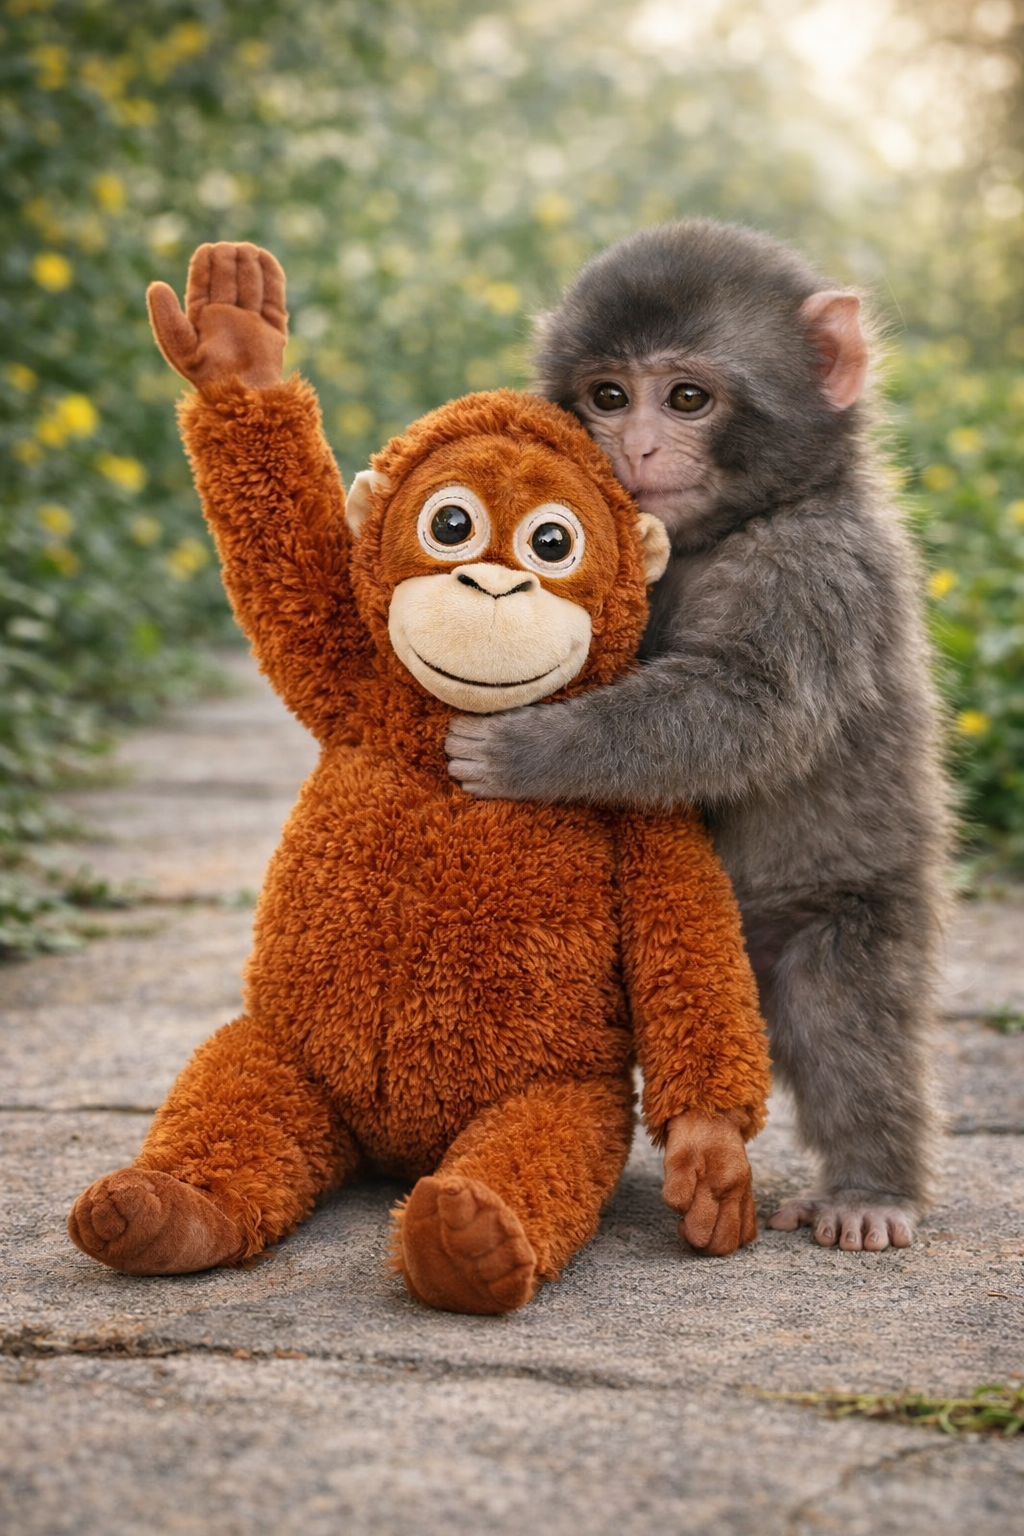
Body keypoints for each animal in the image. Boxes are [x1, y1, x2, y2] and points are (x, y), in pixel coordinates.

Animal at [446, 220, 950, 1253]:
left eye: (686, 397)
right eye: (607, 395)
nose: (636, 444)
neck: (730, 529)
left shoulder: (815, 567)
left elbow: (749, 710)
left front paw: (525, 748)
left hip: (858, 910)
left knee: (849, 1016)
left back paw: (869, 1187)